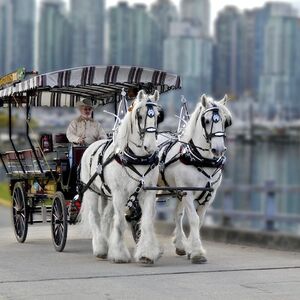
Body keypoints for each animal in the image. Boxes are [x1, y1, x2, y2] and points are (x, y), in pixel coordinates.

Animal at [78, 90, 161, 264]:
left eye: (157, 115)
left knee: (106, 217)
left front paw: (146, 254)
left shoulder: (148, 193)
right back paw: (101, 248)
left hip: (107, 195)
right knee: (95, 217)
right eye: (139, 115)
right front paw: (119, 254)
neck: (136, 158)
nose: (150, 147)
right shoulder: (119, 193)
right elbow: (120, 223)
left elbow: (146, 222)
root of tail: (91, 146)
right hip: (92, 191)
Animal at [158, 95, 233, 264]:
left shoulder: (209, 195)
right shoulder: (188, 192)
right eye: (207, 120)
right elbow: (193, 219)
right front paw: (198, 253)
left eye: (225, 121)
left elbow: (200, 220)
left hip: (177, 191)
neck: (200, 159)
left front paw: (192, 249)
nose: (219, 149)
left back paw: (180, 245)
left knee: (177, 215)